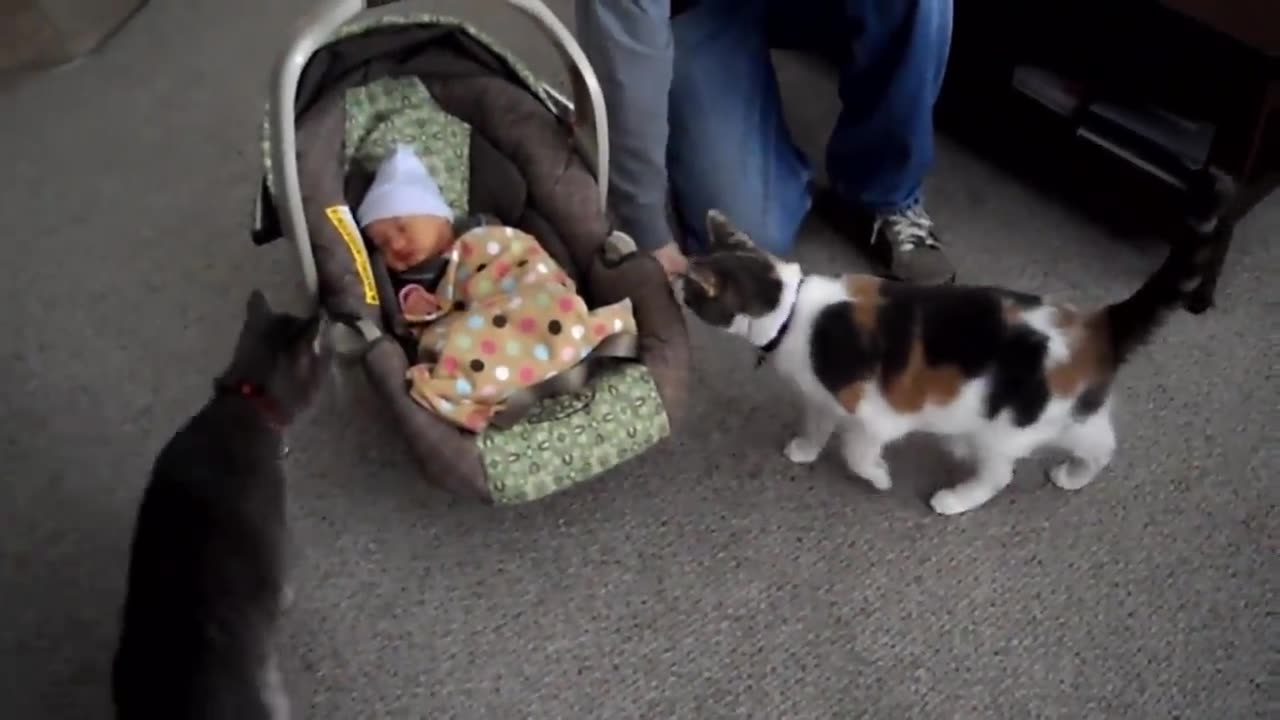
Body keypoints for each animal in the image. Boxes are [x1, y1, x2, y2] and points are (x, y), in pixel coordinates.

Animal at [680, 208, 1208, 515]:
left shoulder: (877, 414)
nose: (676, 289)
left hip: (1003, 427)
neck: (794, 311)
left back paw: (955, 498)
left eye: (689, 290)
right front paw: (806, 449)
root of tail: (1097, 325)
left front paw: (879, 477)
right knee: (1102, 444)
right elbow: (817, 423)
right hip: (1067, 413)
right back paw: (1073, 477)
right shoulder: (821, 397)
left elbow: (856, 451)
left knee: (999, 475)